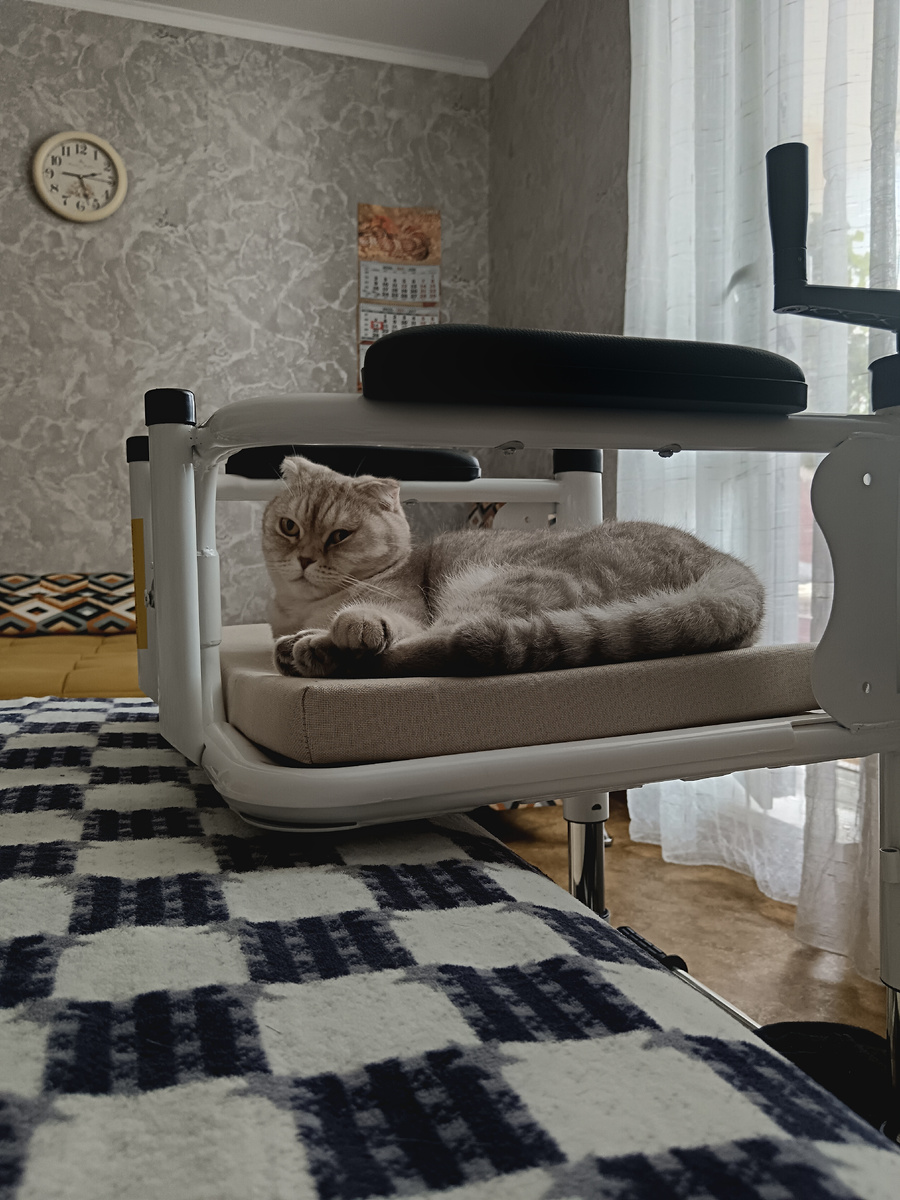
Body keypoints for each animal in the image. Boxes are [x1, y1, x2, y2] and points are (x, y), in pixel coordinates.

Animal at [263, 455, 765, 679]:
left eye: (339, 536)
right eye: (289, 527)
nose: (304, 559)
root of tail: (725, 562)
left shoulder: (404, 610)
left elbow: (382, 622)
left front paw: (343, 629)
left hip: (501, 585)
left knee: (445, 646)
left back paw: (318, 649)